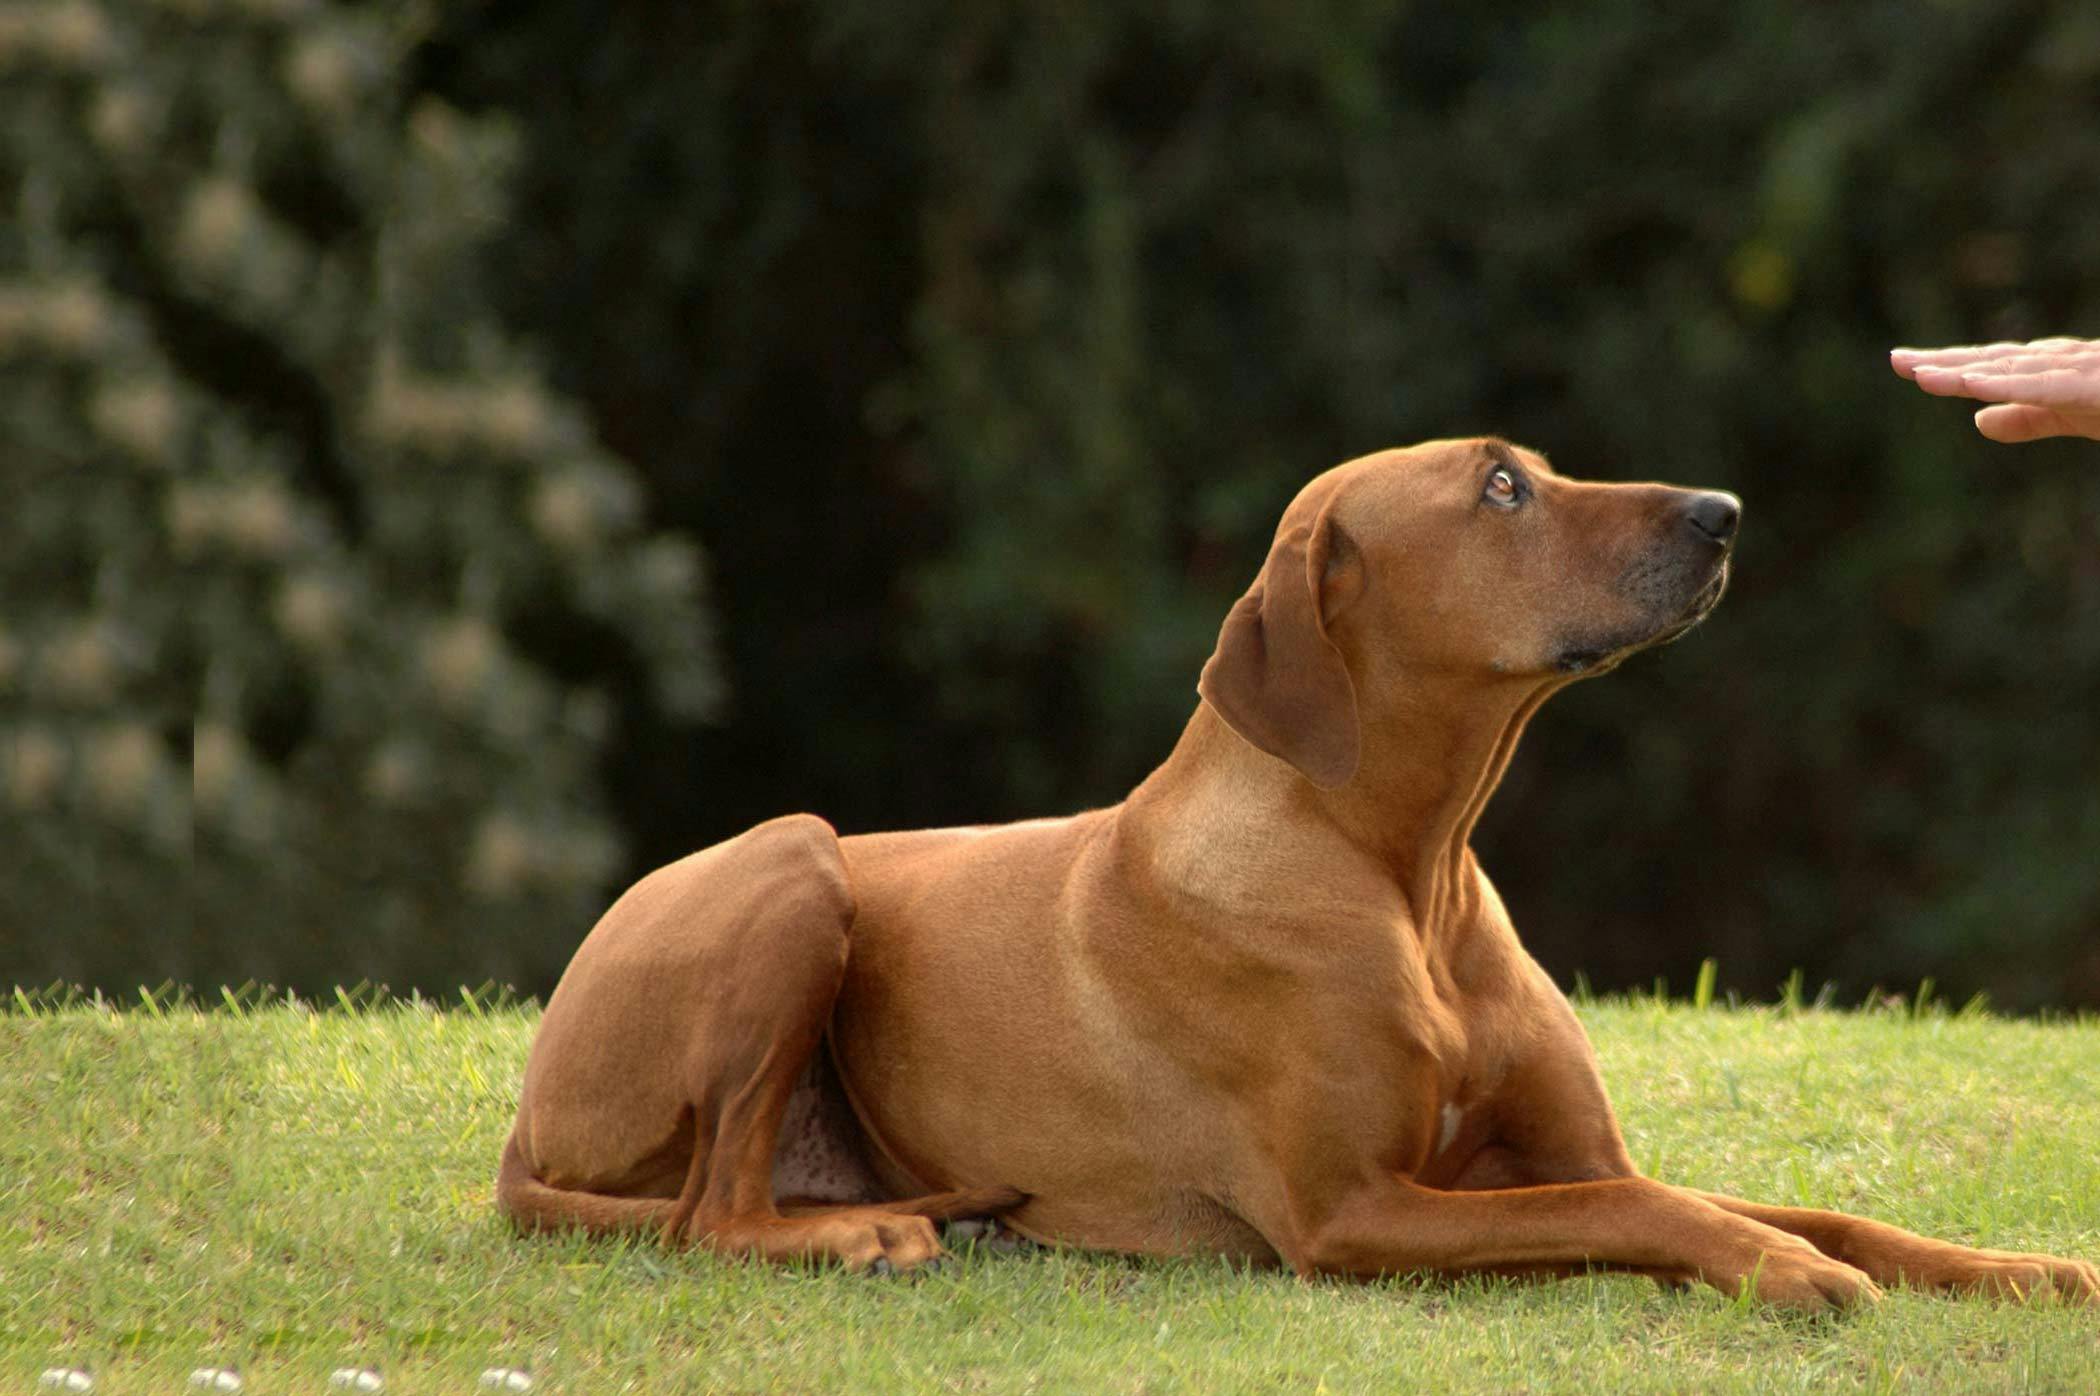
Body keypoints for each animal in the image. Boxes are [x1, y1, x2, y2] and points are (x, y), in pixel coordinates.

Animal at [499, 436, 2091, 1309]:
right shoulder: (1352, 1212)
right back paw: (864, 1237)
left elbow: (1799, 1205)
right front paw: (1790, 1276)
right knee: (709, 1215)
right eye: (1502, 488)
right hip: (797, 861)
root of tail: (525, 1113)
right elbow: (1644, 1214)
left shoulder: (1567, 1150)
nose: (1725, 512)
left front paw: (2017, 1270)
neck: (1407, 873)